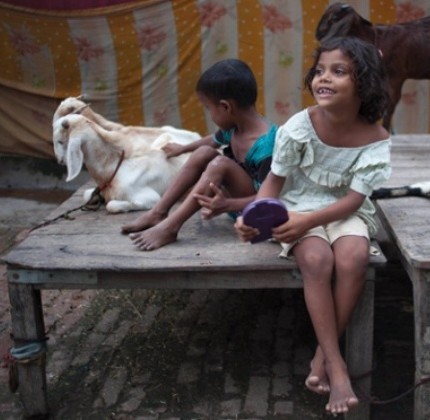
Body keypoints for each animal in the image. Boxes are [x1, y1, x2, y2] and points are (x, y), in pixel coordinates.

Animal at [54, 112, 202, 213]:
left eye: (60, 141)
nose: (60, 161)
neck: (112, 169)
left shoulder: (150, 198)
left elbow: (111, 205)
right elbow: (86, 195)